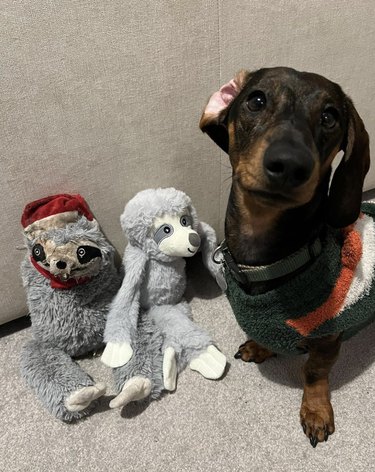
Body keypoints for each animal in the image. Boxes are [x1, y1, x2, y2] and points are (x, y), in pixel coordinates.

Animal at [201, 66, 372, 446]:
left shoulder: (328, 339)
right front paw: (260, 347)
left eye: (329, 117)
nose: (290, 164)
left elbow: (313, 373)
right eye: (256, 100)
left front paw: (316, 410)